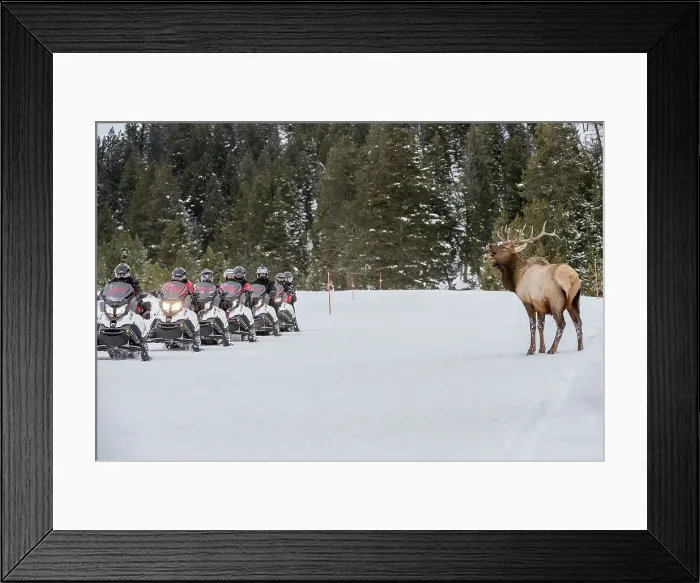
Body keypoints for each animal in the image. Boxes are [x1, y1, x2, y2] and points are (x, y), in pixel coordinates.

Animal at [484, 222, 583, 355]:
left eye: (505, 247)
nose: (489, 244)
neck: (516, 278)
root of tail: (572, 277)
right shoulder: (540, 305)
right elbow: (541, 326)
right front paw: (541, 349)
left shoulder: (527, 302)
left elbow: (532, 326)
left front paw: (531, 350)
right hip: (574, 300)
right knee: (578, 321)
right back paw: (580, 348)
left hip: (556, 300)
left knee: (562, 323)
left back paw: (552, 349)